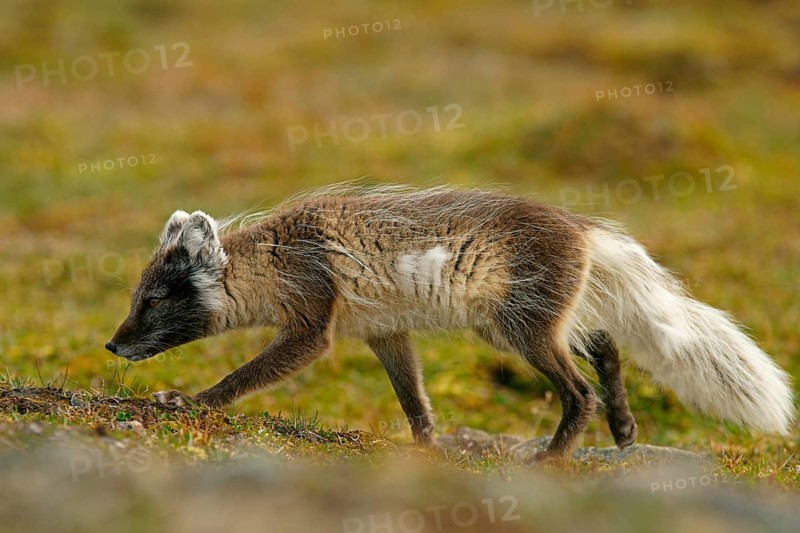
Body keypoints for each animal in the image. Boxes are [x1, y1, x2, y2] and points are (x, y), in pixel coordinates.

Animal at [106, 185, 794, 462]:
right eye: (138, 295)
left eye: (155, 300)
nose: (112, 345)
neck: (275, 256)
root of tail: (583, 227)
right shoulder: (384, 332)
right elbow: (414, 400)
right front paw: (427, 448)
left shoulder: (311, 327)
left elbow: (241, 377)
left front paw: (189, 402)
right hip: (518, 326)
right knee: (603, 343)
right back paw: (624, 430)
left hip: (521, 329)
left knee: (580, 392)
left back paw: (551, 460)